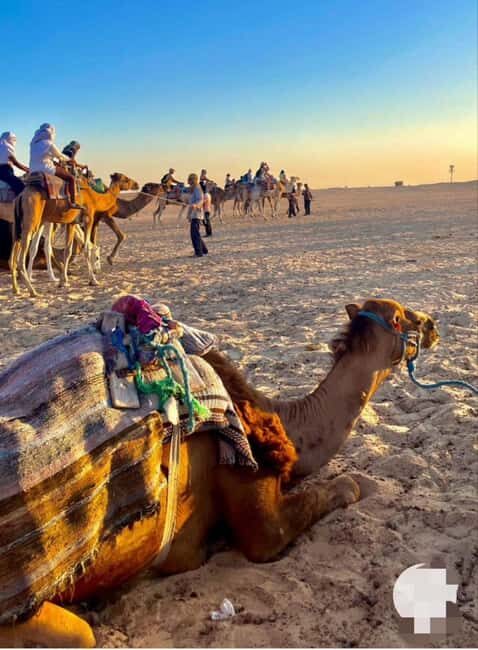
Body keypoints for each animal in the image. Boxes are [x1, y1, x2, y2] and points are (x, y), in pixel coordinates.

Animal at [0, 298, 439, 647]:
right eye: (402, 316)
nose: (433, 323)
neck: (280, 419)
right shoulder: (249, 491)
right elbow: (324, 499)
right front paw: (361, 484)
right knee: (82, 634)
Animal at [10, 172, 138, 297]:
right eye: (126, 179)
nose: (136, 184)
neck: (94, 197)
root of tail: (21, 196)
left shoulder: (71, 223)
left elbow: (68, 251)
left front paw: (63, 282)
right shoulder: (88, 219)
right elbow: (86, 248)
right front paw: (93, 280)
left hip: (20, 224)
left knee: (17, 249)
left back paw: (17, 289)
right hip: (31, 221)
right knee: (22, 257)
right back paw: (32, 291)